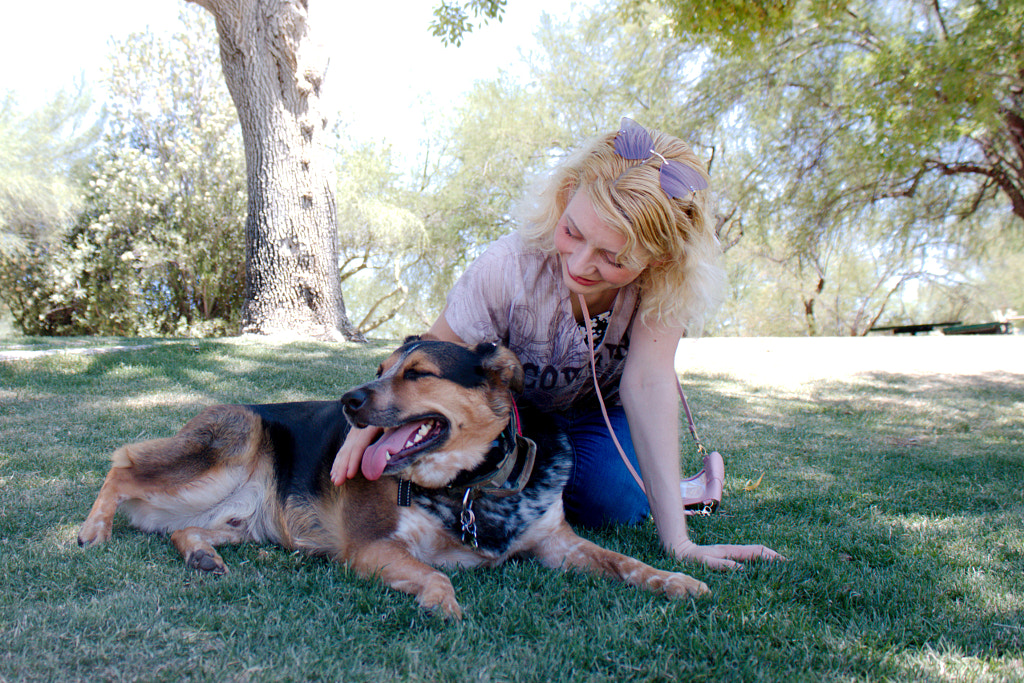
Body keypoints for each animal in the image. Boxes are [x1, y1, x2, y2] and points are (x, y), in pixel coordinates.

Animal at [79, 337, 708, 618]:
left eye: (419, 374)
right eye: (379, 369)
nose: (348, 400)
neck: (471, 484)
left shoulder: (559, 543)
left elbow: (624, 561)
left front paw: (676, 578)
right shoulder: (374, 547)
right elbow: (437, 575)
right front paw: (442, 603)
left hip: (236, 516)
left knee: (184, 529)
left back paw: (204, 556)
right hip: (232, 440)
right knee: (124, 461)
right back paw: (92, 529)